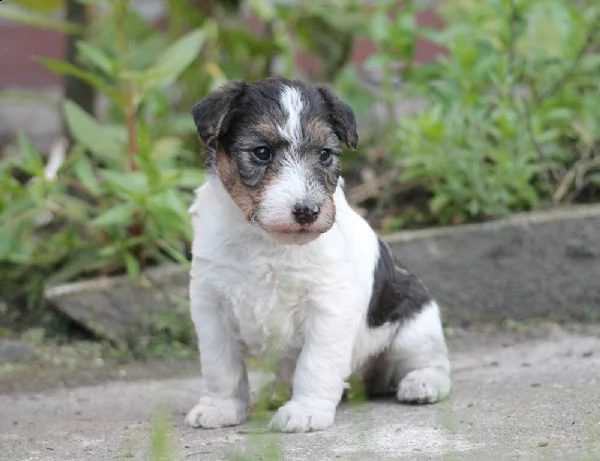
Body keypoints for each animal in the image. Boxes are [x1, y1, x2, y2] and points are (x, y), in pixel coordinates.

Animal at [183, 76, 450, 432]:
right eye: (262, 152)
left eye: (325, 154)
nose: (307, 211)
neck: (268, 242)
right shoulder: (211, 303)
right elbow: (221, 366)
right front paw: (220, 407)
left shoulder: (329, 306)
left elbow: (315, 363)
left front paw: (305, 411)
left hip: (415, 325)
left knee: (432, 362)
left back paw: (422, 383)